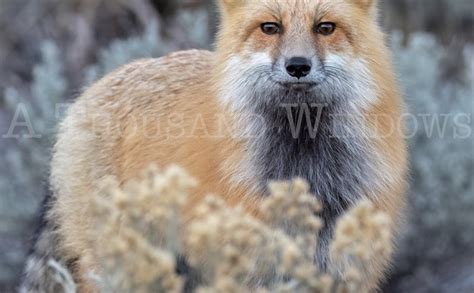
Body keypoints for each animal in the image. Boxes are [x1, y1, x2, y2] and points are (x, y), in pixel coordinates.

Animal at [22, 0, 408, 290]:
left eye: (325, 28)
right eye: (270, 28)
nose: (298, 65)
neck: (308, 172)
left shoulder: (344, 269)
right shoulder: (250, 270)